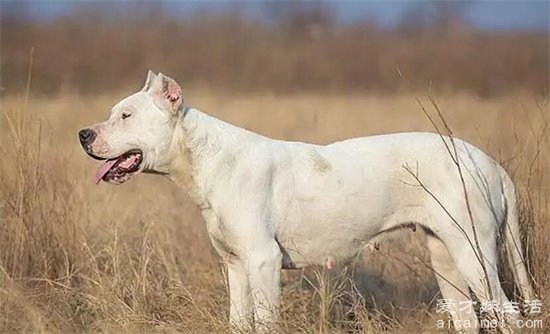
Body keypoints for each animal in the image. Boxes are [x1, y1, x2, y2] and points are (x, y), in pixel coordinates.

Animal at [80, 72, 536, 332]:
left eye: (126, 116)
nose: (83, 134)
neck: (205, 158)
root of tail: (489, 163)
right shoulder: (235, 267)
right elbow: (239, 322)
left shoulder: (262, 262)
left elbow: (264, 324)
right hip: (448, 261)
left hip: (474, 255)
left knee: (509, 315)